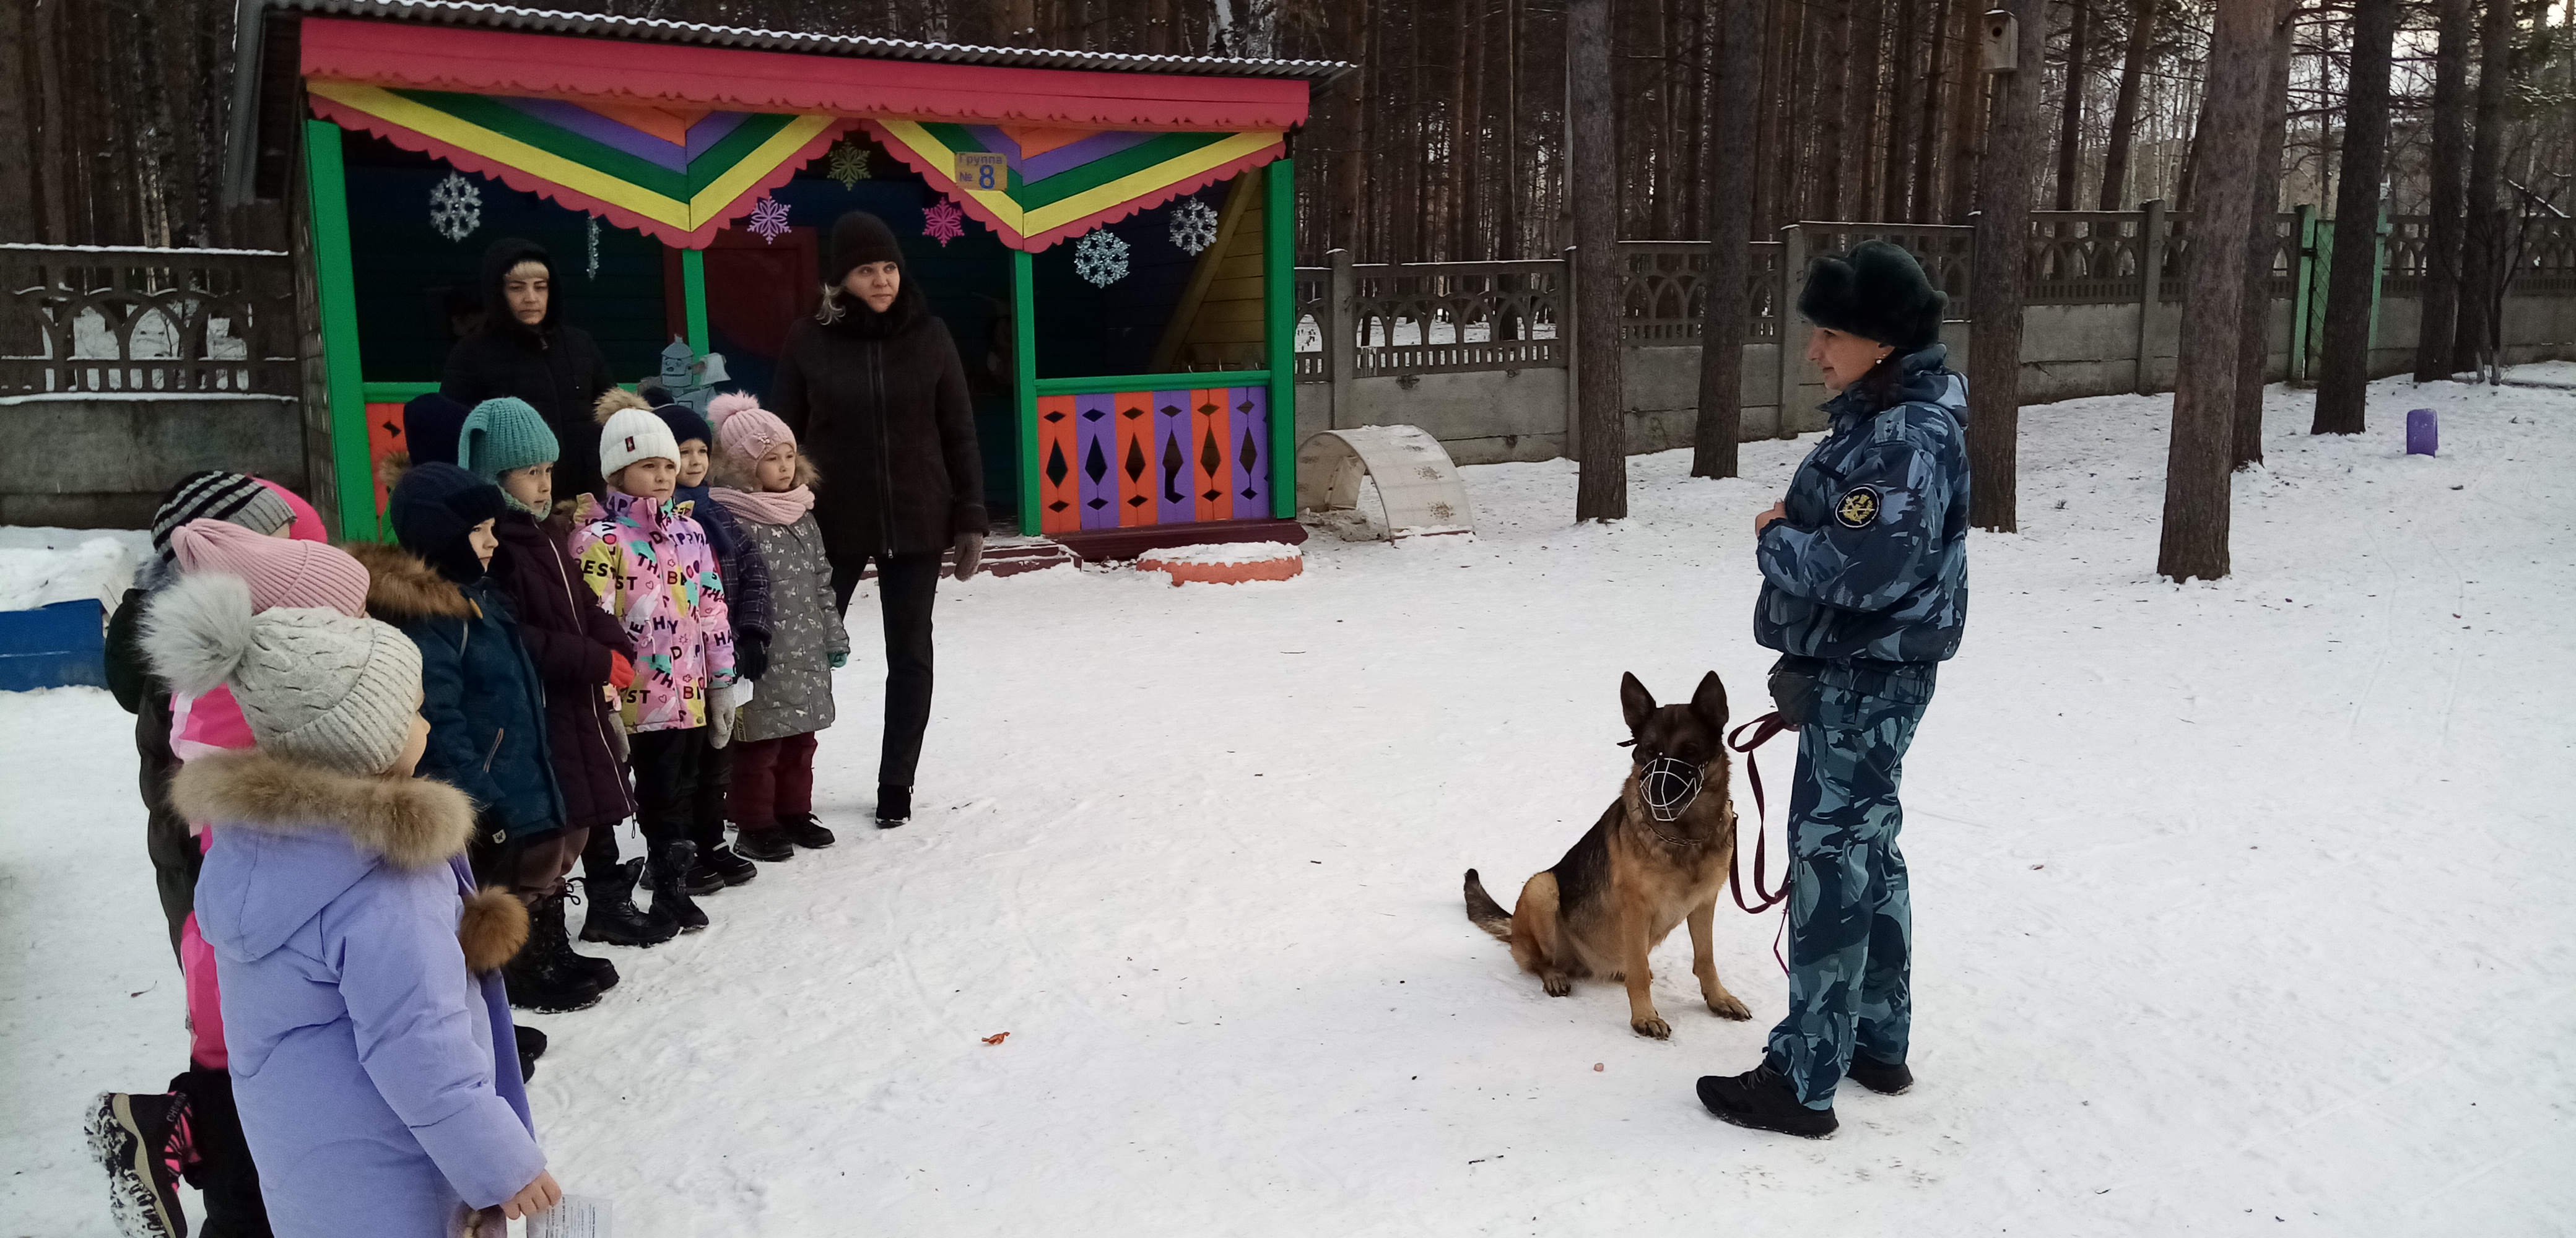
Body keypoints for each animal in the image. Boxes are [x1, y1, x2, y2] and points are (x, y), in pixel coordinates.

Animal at [1463, 669, 1762, 1039]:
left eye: (1690, 751)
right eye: (1649, 751)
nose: (1657, 795)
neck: (1683, 837)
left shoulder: (1705, 902)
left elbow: (1705, 959)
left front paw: (1719, 1000)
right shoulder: (1636, 909)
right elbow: (1639, 973)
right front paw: (1644, 1016)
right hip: (1542, 887)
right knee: (1542, 961)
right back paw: (1555, 976)